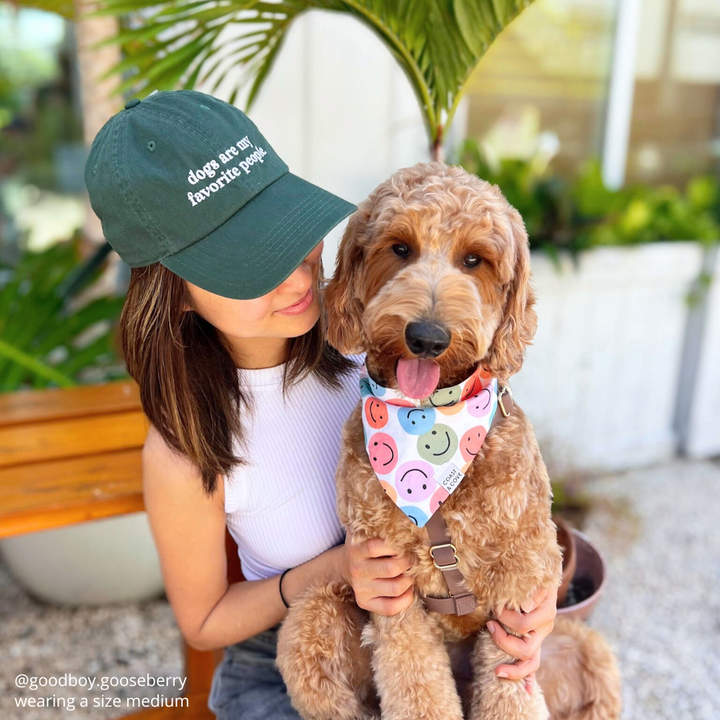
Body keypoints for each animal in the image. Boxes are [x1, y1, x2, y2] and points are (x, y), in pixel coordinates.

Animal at [276, 163, 620, 720]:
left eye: (474, 259)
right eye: (399, 248)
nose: (427, 337)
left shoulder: (521, 585)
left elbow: (509, 690)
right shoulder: (393, 589)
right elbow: (417, 685)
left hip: (587, 650)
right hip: (313, 616)